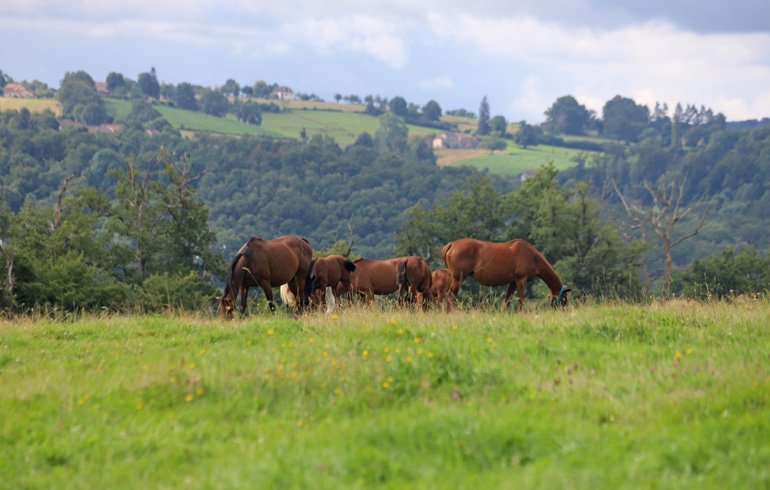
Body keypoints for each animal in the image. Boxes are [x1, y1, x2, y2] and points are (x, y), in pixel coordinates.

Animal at [440, 238, 570, 310]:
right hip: (458, 278)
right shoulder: (520, 280)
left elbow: (506, 301)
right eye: (564, 299)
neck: (532, 257)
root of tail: (452, 245)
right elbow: (520, 300)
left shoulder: (512, 283)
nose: (563, 311)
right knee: (450, 296)